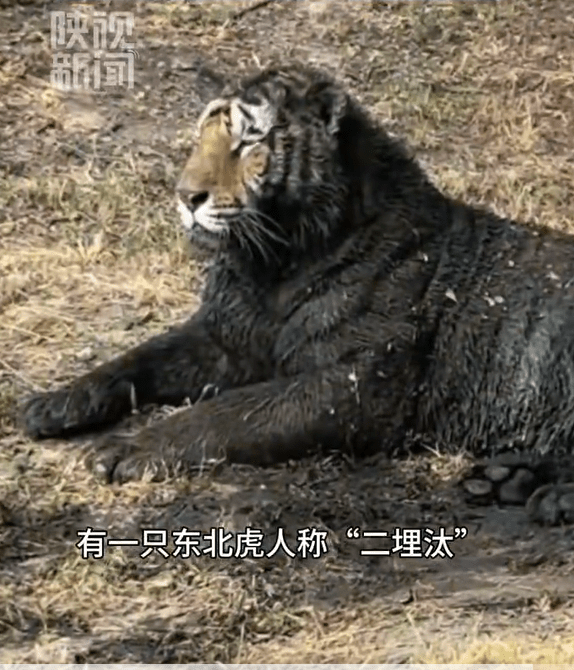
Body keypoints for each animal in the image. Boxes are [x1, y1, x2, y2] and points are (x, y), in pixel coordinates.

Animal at [21, 64, 574, 525]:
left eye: (249, 141)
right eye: (202, 137)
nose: (185, 195)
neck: (271, 264)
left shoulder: (353, 382)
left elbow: (231, 411)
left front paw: (126, 449)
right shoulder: (224, 338)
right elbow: (138, 359)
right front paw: (52, 403)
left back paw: (548, 499)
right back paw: (504, 479)